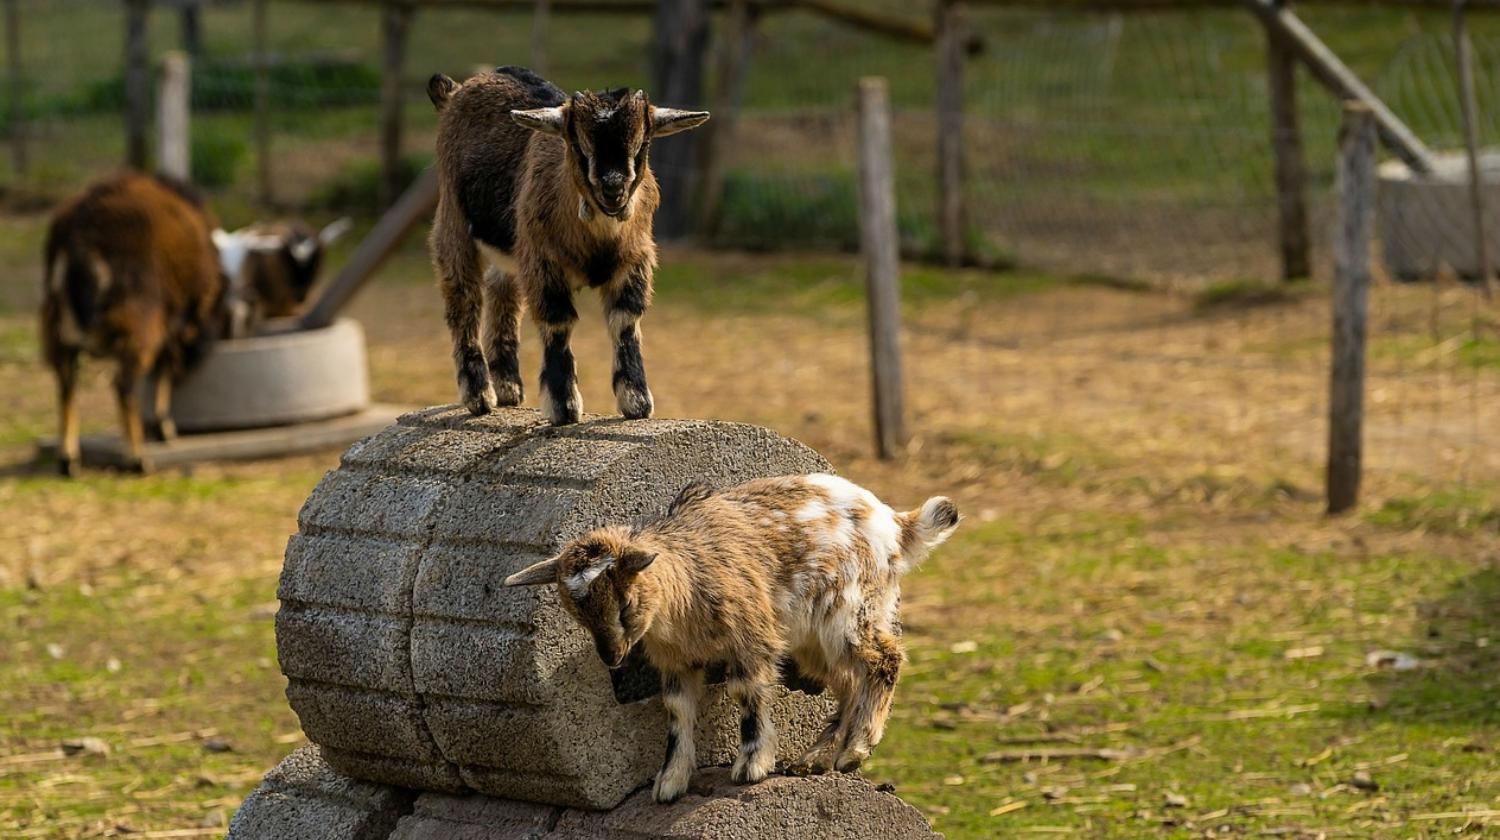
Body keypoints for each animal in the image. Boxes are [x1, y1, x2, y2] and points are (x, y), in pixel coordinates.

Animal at [41, 172, 223, 475]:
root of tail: (80, 233)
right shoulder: (169, 323)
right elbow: (164, 370)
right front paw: (163, 428)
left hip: (57, 327)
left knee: (66, 386)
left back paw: (69, 461)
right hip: (137, 323)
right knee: (123, 385)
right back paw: (138, 459)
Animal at [426, 66, 708, 424]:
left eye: (643, 144)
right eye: (578, 145)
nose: (613, 189)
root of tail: (456, 90)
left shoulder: (635, 259)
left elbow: (625, 320)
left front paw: (636, 402)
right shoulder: (543, 262)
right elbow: (557, 320)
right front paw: (564, 406)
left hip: (509, 251)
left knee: (501, 290)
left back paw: (508, 388)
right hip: (453, 223)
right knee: (463, 300)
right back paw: (479, 396)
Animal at [505, 473, 961, 803]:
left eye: (625, 602)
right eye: (574, 612)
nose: (612, 657)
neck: (682, 590)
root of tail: (896, 523)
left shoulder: (751, 637)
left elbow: (748, 694)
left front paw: (752, 764)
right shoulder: (677, 662)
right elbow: (677, 712)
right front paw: (670, 782)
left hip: (849, 611)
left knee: (885, 659)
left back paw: (855, 750)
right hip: (812, 638)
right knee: (848, 682)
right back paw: (816, 758)